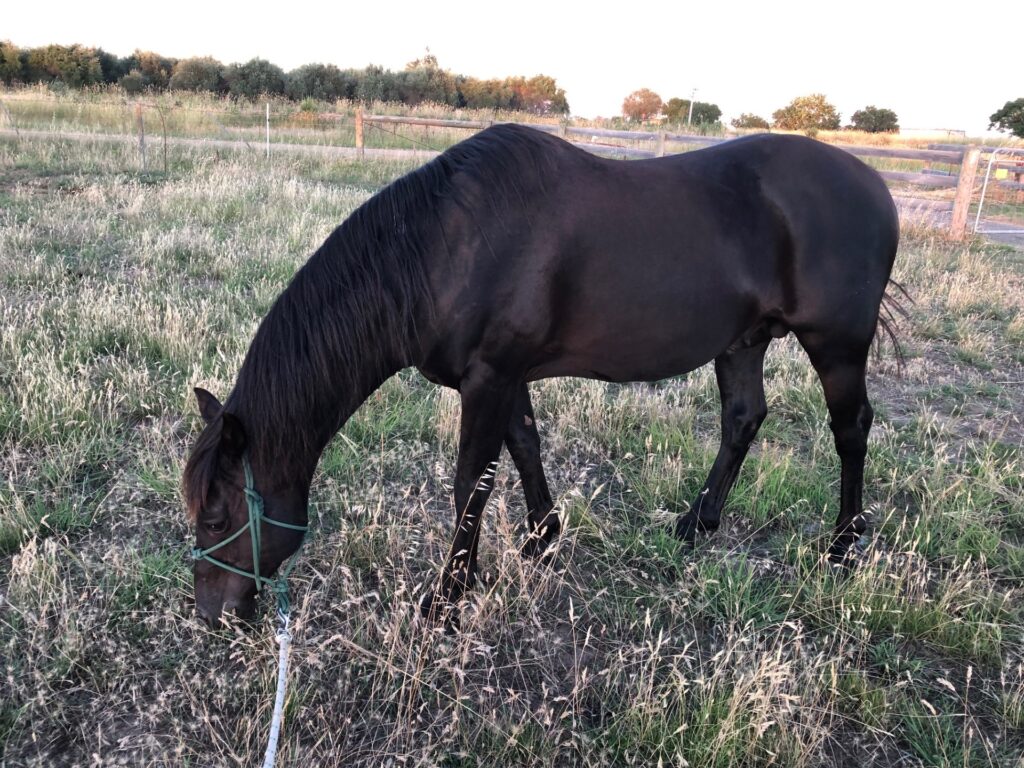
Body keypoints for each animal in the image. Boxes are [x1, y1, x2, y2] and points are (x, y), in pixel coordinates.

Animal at [182, 124, 897, 626]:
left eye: (215, 520)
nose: (212, 618)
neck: (445, 248)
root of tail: (876, 184)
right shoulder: (506, 377)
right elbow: (523, 447)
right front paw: (542, 543)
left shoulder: (490, 378)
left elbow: (471, 482)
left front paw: (448, 597)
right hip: (743, 341)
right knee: (743, 420)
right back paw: (697, 524)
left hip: (836, 345)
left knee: (850, 429)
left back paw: (842, 546)